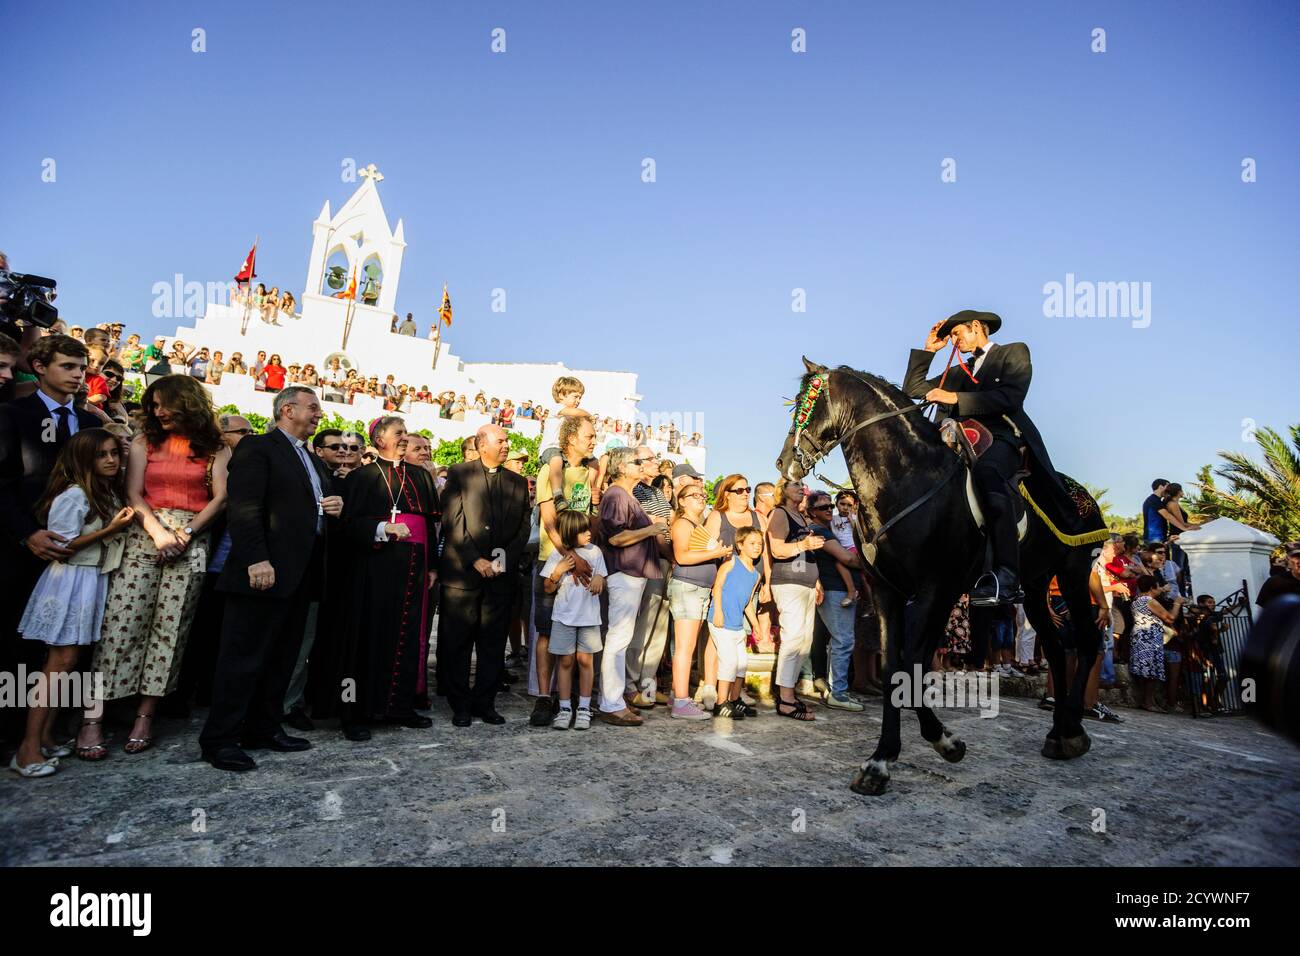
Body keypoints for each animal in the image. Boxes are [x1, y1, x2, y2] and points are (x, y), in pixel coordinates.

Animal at [774, 356, 1102, 790]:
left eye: (806, 405)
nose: (784, 463)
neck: (906, 478)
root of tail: (1084, 497)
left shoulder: (937, 590)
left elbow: (911, 665)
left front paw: (939, 743)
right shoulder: (888, 592)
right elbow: (893, 666)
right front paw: (883, 758)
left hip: (1072, 574)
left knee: (1085, 641)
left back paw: (1073, 728)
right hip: (1034, 587)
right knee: (1056, 646)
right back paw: (1060, 731)